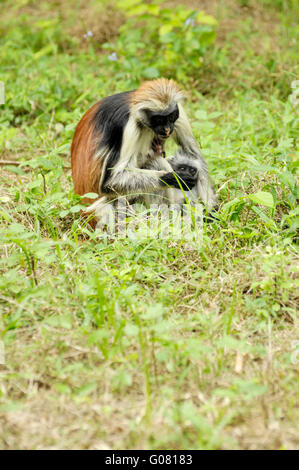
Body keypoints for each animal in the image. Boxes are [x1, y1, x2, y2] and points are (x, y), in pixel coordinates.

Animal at [72, 77, 218, 228]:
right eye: (159, 119)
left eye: (171, 116)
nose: (167, 129)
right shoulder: (127, 125)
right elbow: (110, 182)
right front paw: (174, 177)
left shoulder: (178, 111)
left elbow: (194, 155)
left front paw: (212, 211)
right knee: (154, 163)